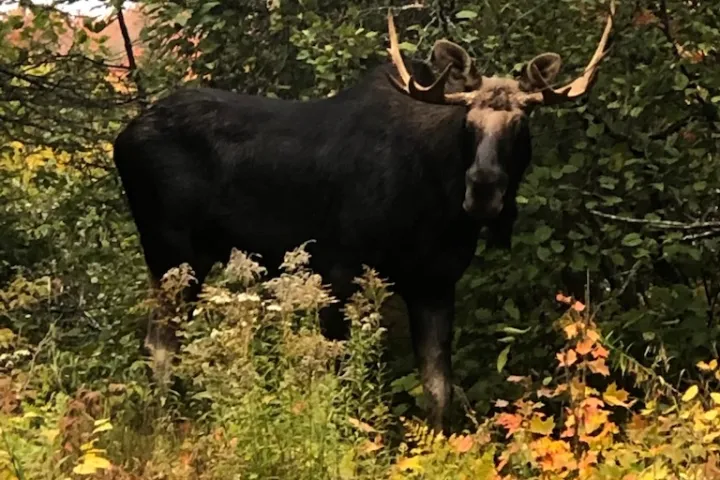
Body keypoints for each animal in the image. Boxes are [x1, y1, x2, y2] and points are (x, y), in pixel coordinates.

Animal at [112, 3, 614, 432]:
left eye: (520, 124)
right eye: (468, 123)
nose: (484, 189)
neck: (437, 203)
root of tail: (122, 139)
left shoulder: (435, 282)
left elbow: (438, 389)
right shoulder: (339, 268)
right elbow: (339, 377)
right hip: (172, 252)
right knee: (160, 344)